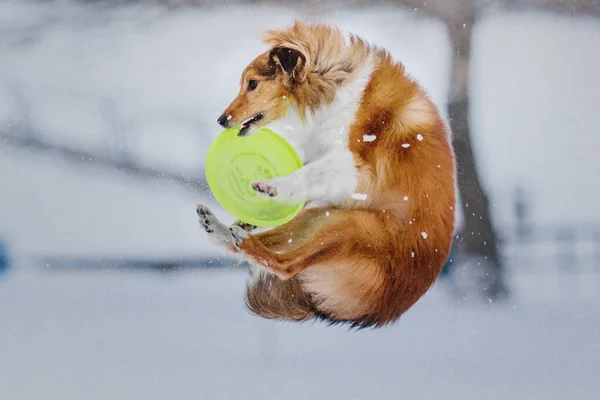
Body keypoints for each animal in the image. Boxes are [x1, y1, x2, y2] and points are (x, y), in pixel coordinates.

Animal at [197, 21, 454, 328]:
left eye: (252, 84)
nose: (221, 120)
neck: (329, 89)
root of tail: (382, 309)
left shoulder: (353, 165)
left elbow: (308, 173)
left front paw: (272, 186)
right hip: (320, 218)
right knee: (269, 246)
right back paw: (220, 229)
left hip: (352, 227)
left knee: (287, 264)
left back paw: (243, 237)